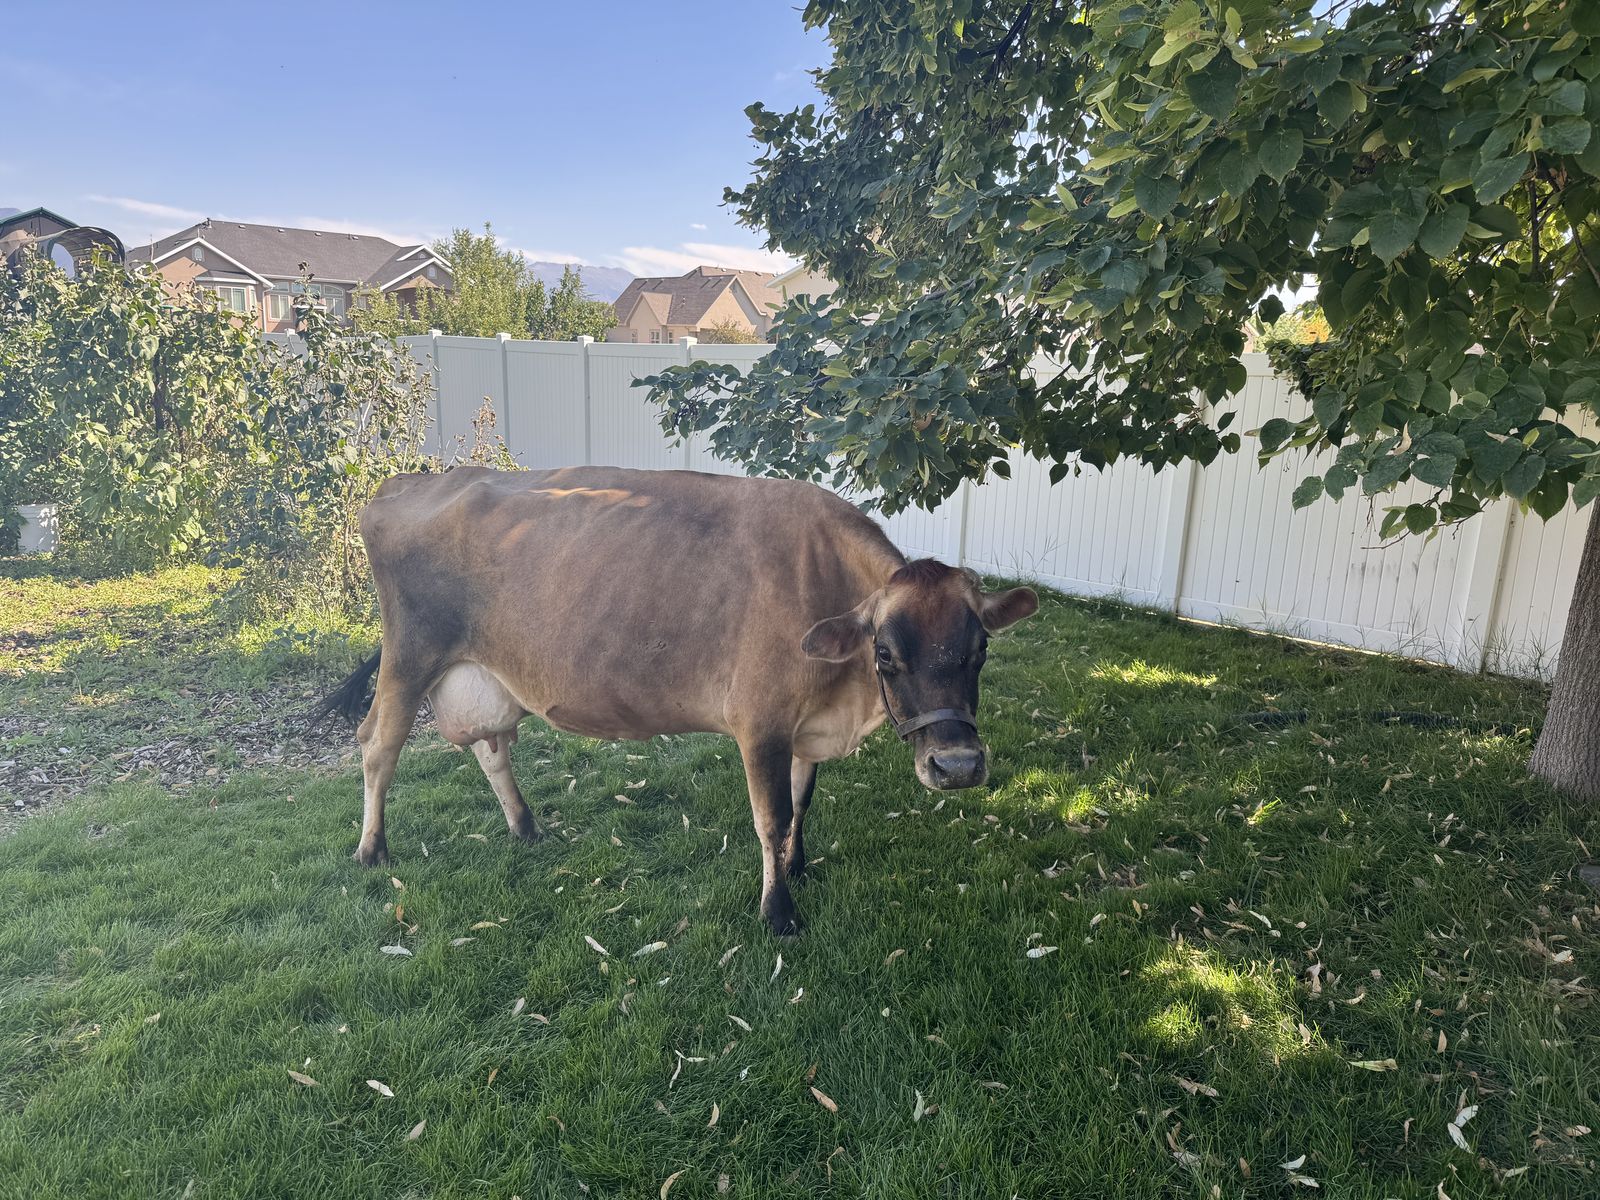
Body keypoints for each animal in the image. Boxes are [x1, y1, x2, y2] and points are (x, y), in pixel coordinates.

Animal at [319, 465, 1037, 935]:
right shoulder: (760, 721)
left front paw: (799, 866)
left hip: (483, 674)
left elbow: (802, 800)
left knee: (492, 747)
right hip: (409, 657)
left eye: (980, 649)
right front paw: (778, 911)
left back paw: (525, 826)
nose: (958, 766)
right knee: (378, 746)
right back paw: (371, 849)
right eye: (886, 653)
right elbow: (771, 817)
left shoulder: (805, 726)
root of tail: (404, 482)